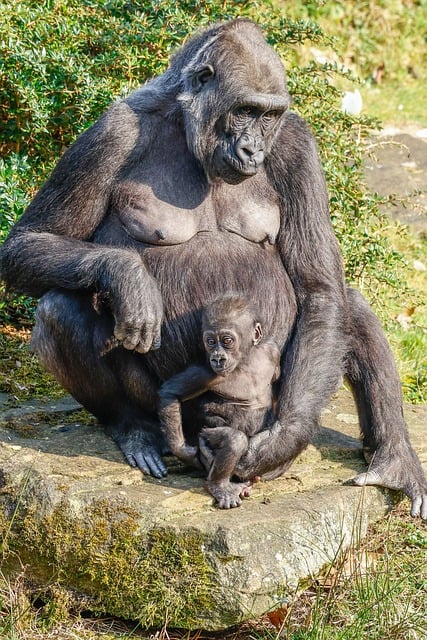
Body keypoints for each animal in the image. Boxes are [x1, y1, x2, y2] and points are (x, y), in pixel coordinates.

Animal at [158, 295, 281, 508]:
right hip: (208, 434)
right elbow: (171, 393)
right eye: (210, 341)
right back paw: (219, 486)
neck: (245, 360)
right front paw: (184, 451)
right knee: (234, 440)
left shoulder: (272, 350)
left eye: (226, 340)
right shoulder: (205, 370)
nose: (217, 357)